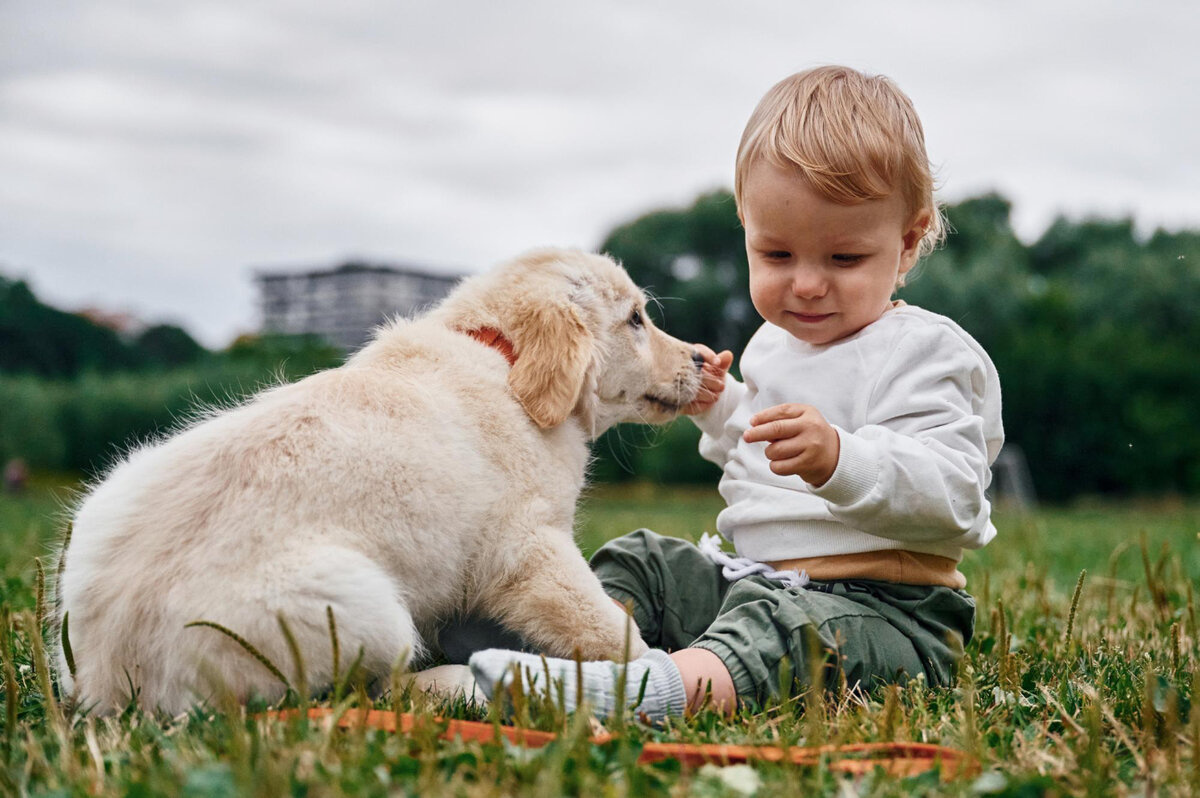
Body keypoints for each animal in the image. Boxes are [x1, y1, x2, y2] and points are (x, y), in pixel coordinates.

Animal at [56, 247, 705, 710]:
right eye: (635, 320)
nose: (703, 357)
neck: (505, 358)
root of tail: (107, 678)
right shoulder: (530, 548)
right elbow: (603, 624)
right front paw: (649, 663)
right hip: (366, 608)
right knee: (364, 694)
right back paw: (458, 683)